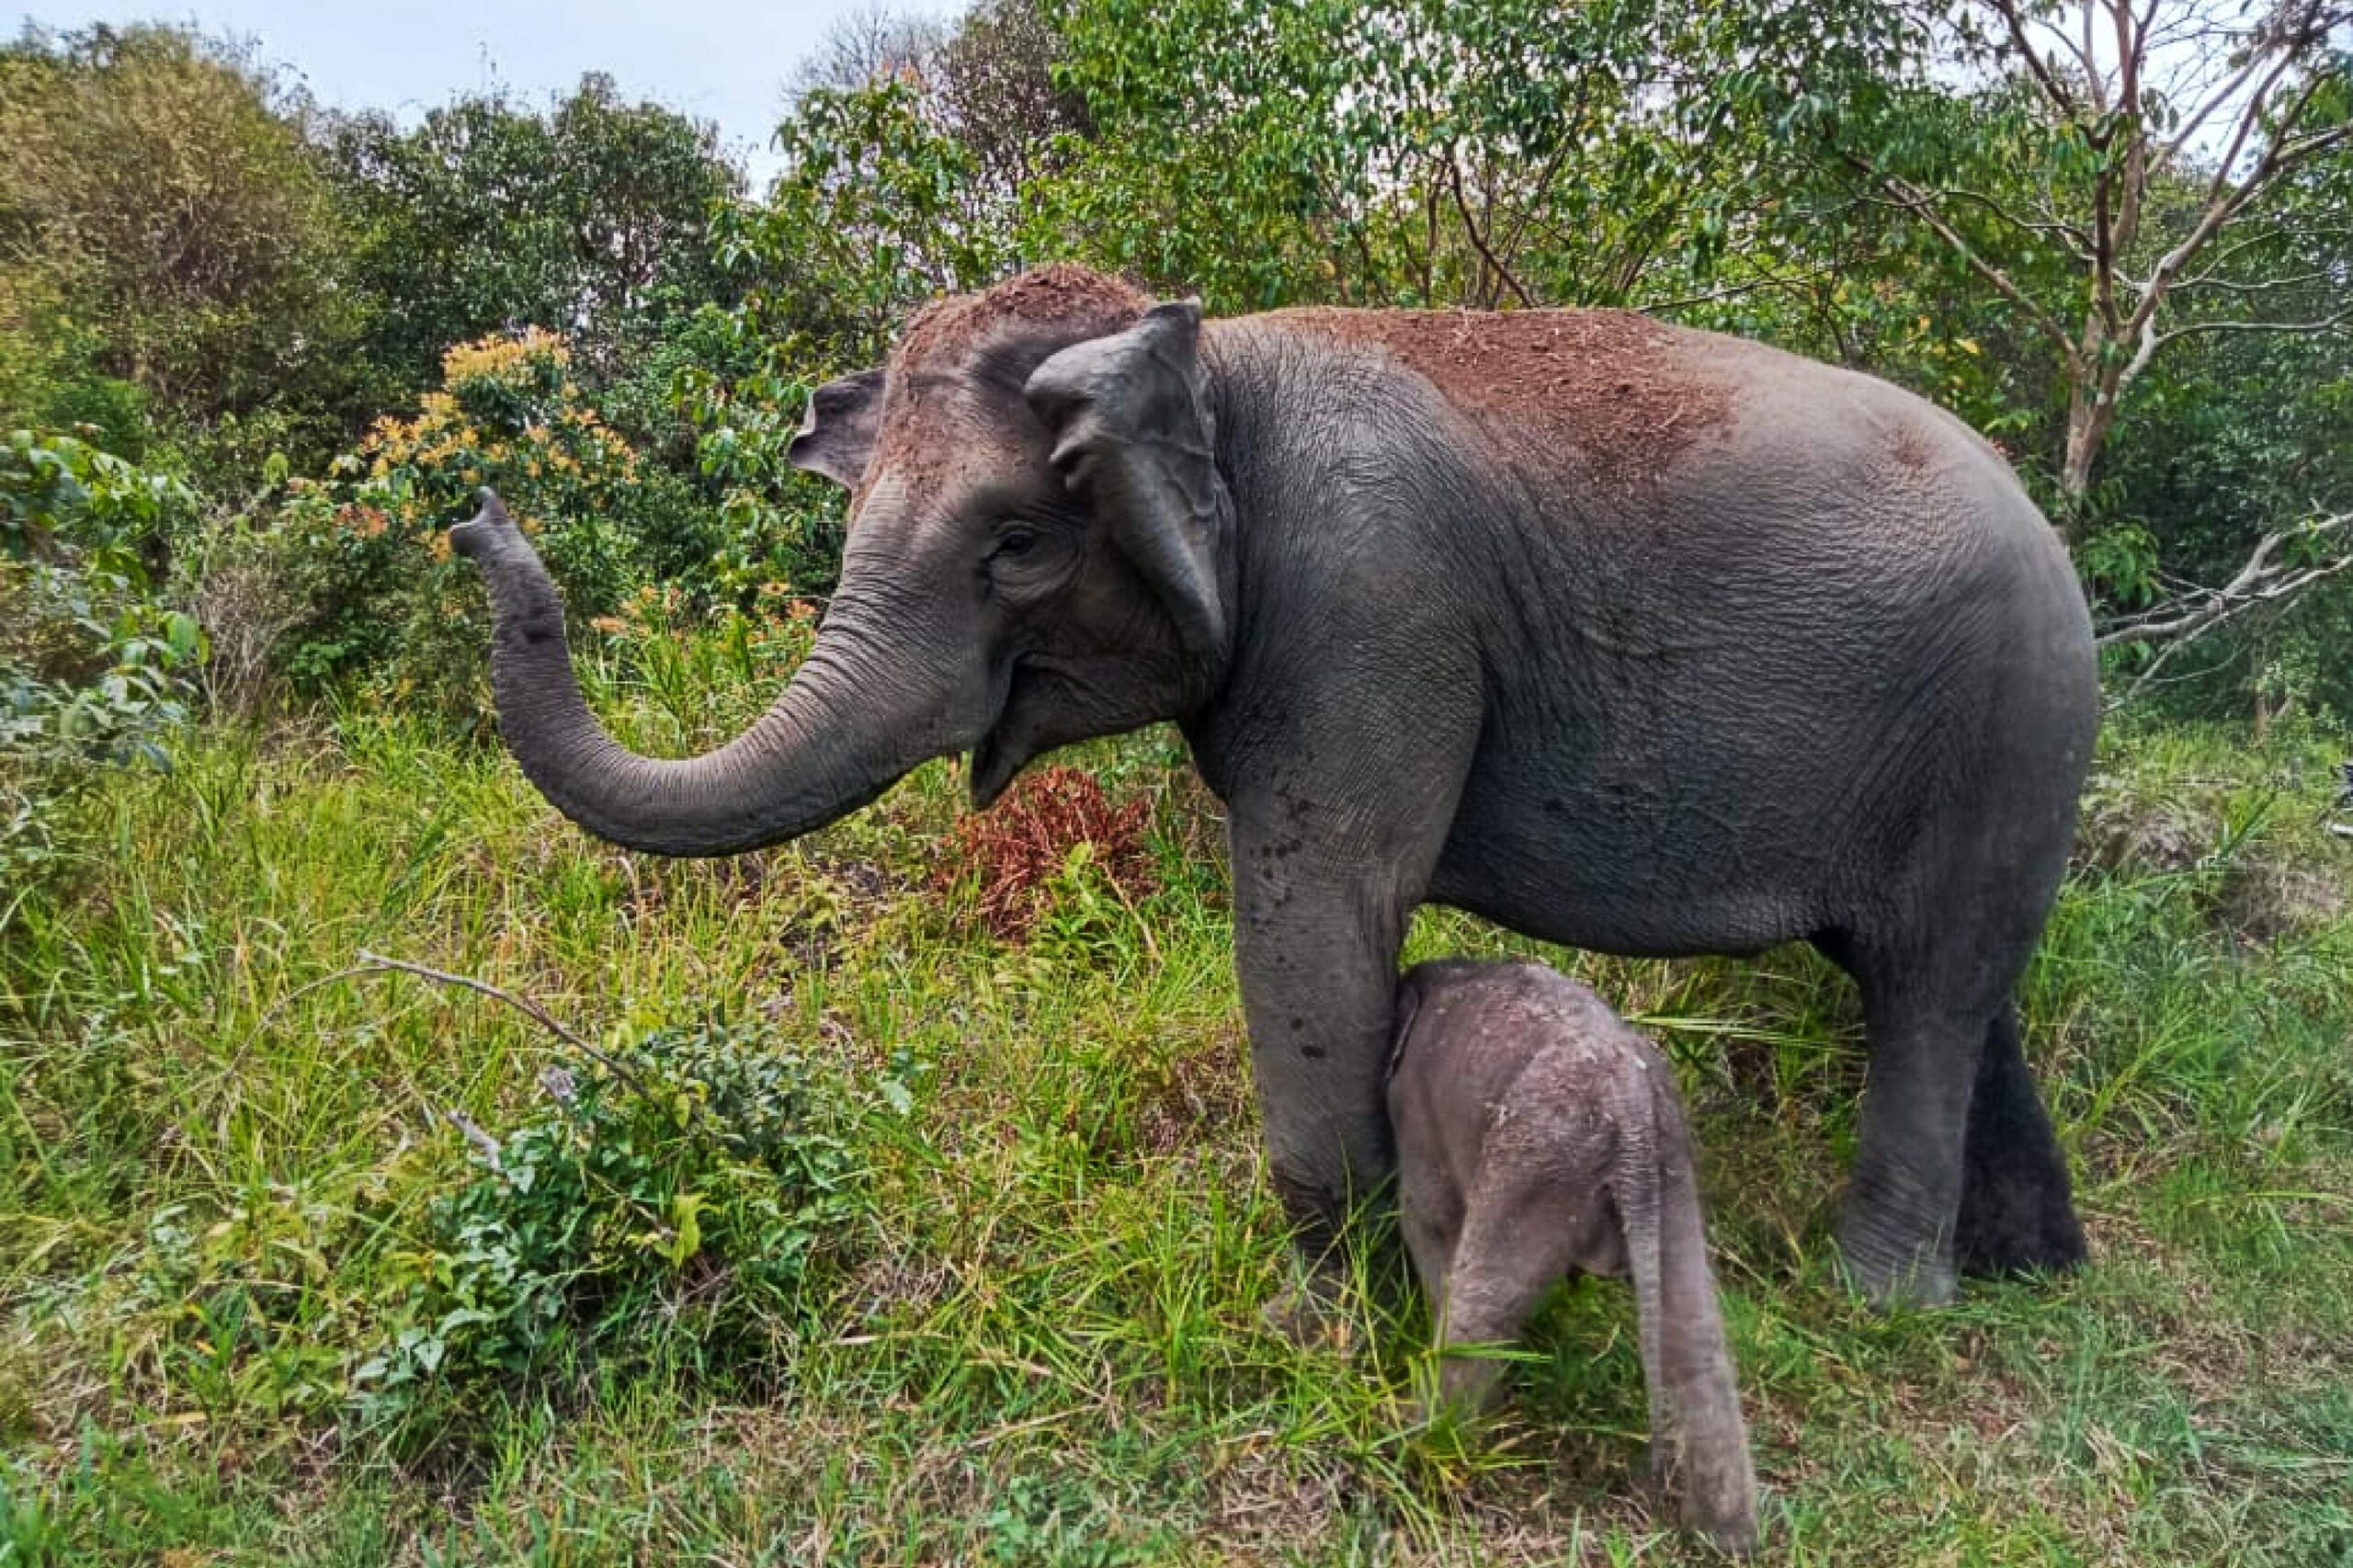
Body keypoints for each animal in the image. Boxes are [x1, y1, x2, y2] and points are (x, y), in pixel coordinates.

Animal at [459, 262, 2098, 1299]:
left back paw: (1877, 1303)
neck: (1207, 352)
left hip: (2007, 720)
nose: (478, 512)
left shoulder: (1372, 605)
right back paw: (2029, 1271)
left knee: (1931, 989)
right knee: (1951, 985)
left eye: (1017, 544)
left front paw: (1317, 1323)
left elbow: (1319, 910)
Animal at [1383, 960, 1759, 1544]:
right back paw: (1725, 1536)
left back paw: (1414, 1445)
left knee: (1481, 1311)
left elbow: (1426, 1220)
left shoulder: (1416, 1116)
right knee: (1697, 1338)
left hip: (1541, 1164)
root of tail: (1631, 1106)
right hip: (1671, 1171)